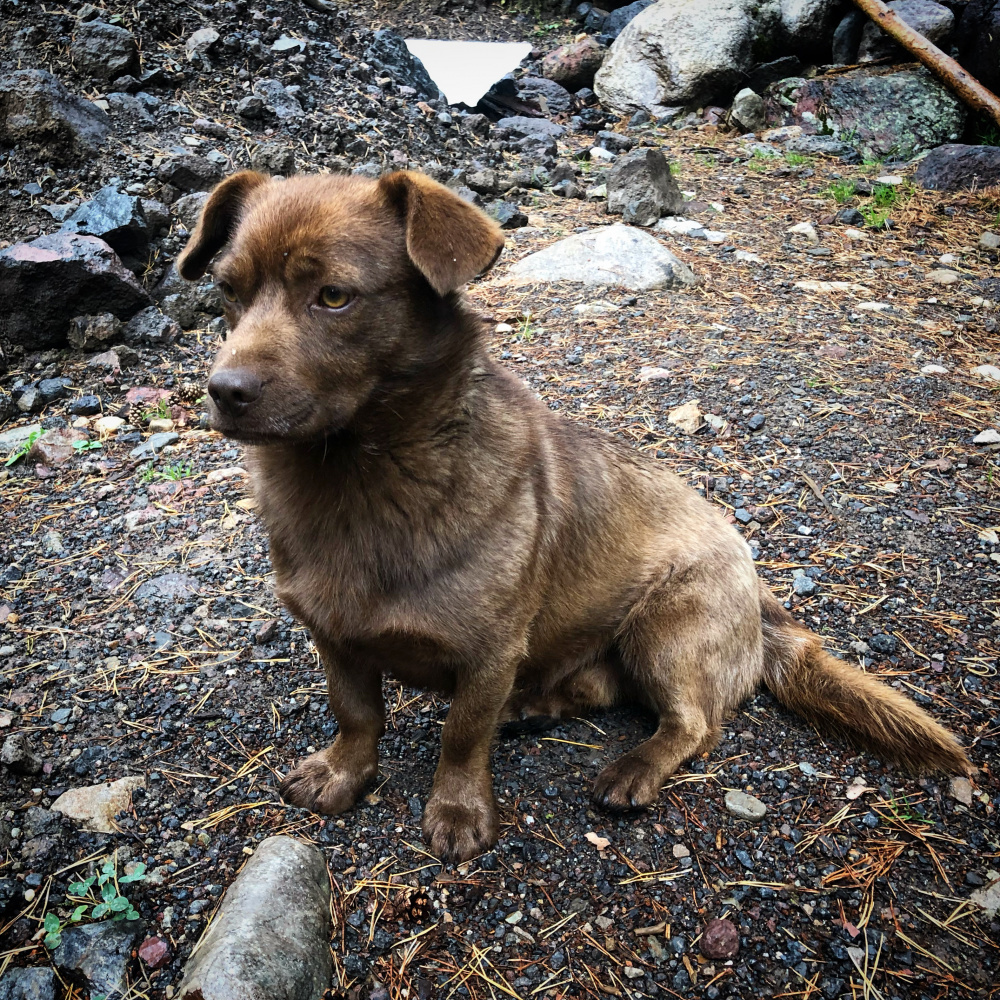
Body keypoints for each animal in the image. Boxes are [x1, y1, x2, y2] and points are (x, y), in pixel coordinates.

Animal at [178, 168, 968, 864]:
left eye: (334, 296)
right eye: (226, 292)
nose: (224, 390)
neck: (357, 479)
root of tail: (762, 598)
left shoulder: (489, 652)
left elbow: (461, 734)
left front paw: (458, 811)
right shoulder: (334, 636)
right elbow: (356, 713)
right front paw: (343, 775)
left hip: (667, 626)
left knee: (696, 724)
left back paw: (632, 767)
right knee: (601, 689)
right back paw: (537, 706)